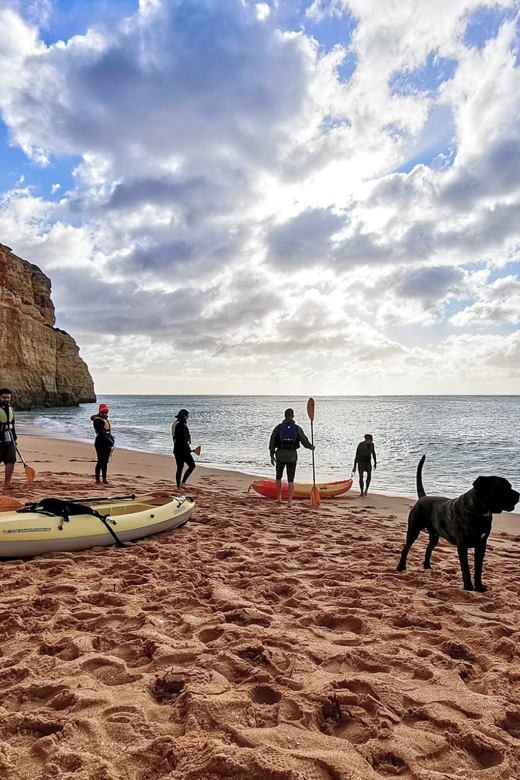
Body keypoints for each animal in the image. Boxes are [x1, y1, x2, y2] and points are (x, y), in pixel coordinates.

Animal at [396, 458, 516, 592]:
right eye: (504, 488)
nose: (519, 495)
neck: (479, 510)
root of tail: (423, 498)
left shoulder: (481, 545)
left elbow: (478, 568)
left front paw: (479, 586)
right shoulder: (462, 546)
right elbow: (466, 568)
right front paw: (468, 586)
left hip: (434, 536)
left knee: (428, 549)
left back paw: (427, 566)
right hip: (414, 530)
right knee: (405, 548)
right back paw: (401, 567)